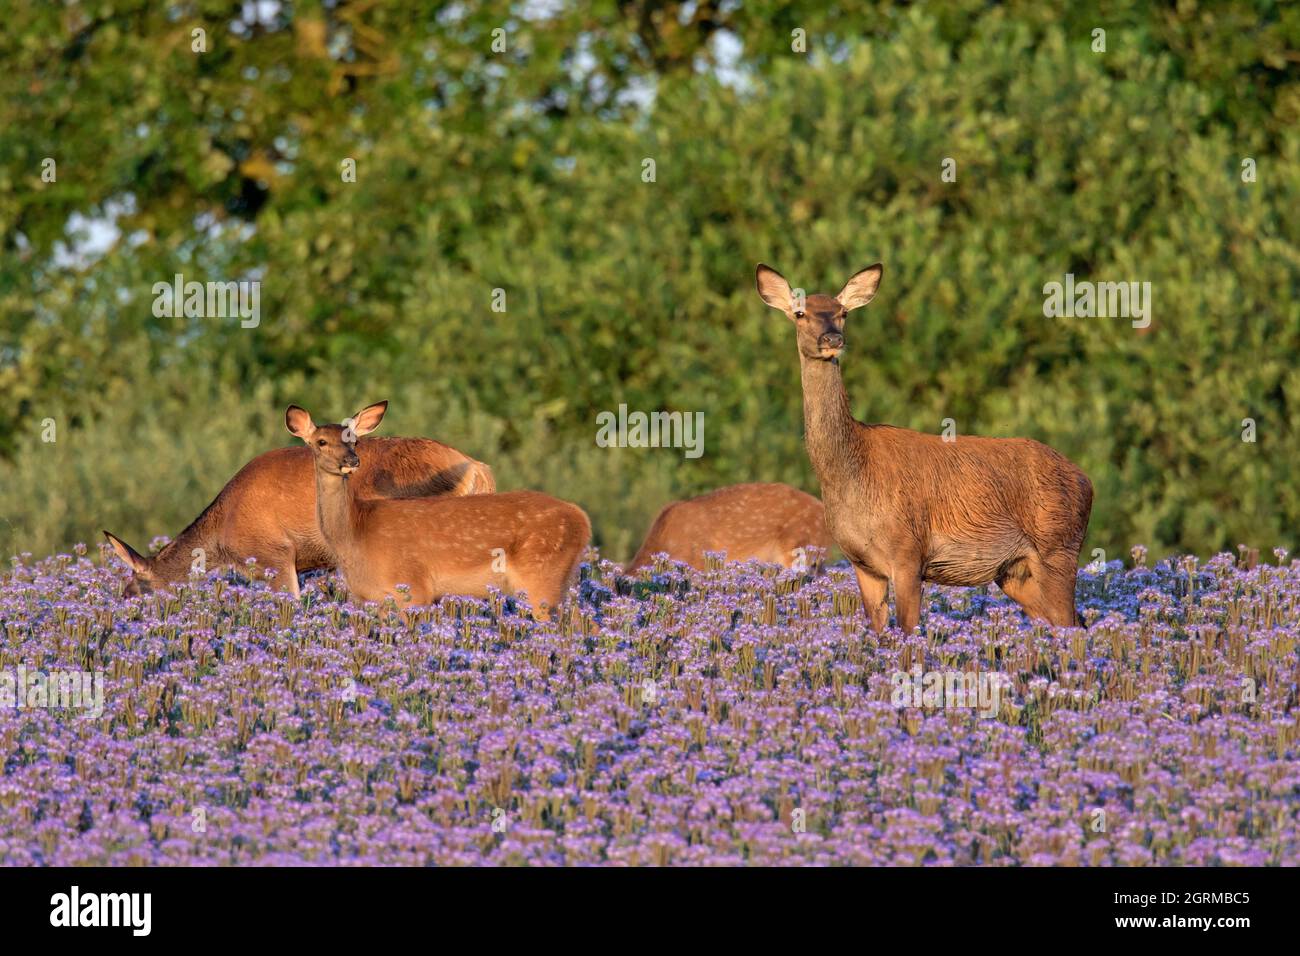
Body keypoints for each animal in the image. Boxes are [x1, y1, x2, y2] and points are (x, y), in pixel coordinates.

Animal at [288, 398, 590, 616]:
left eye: (355, 440)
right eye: (321, 442)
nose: (351, 460)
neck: (355, 531)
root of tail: (582, 518)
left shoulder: (413, 588)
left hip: (540, 578)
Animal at [759, 261, 1092, 634]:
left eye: (843, 312)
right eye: (800, 313)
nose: (832, 339)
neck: (852, 471)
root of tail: (1086, 480)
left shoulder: (907, 551)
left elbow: (907, 631)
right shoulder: (862, 564)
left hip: (1058, 546)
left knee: (1071, 623)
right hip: (1015, 572)